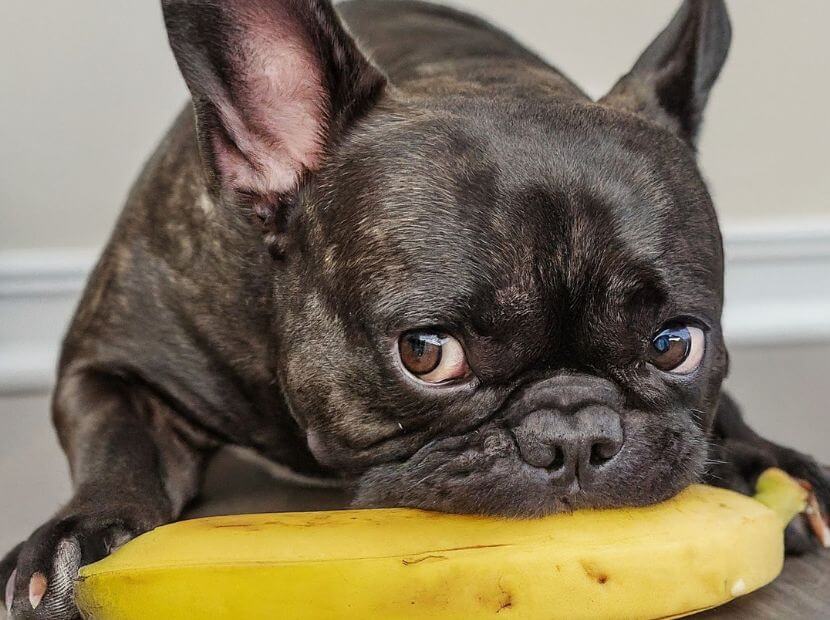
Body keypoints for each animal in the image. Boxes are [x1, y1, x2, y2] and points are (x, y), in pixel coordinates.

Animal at [3, 2, 828, 616]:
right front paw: (82, 539)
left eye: (673, 344)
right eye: (427, 353)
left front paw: (766, 460)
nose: (576, 434)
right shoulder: (112, 363)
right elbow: (116, 439)